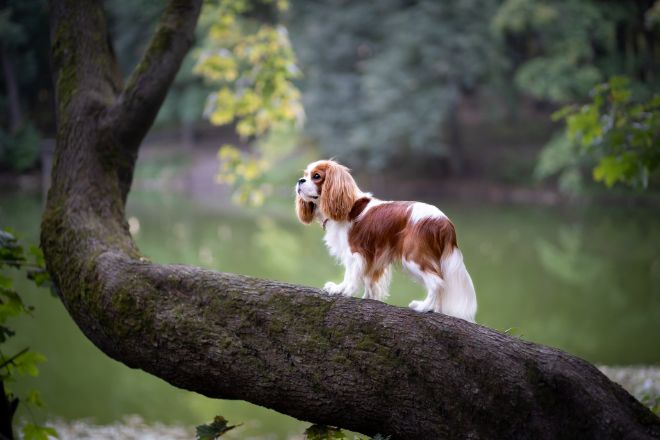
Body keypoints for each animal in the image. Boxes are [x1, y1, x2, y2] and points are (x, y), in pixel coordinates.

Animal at [296, 160, 476, 322]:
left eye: (317, 176)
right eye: (305, 175)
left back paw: (424, 307)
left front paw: (341, 289)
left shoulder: (355, 252)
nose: (300, 180)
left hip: (413, 257)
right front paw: (368, 298)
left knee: (437, 282)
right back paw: (435, 309)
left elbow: (350, 275)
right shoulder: (373, 256)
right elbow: (369, 280)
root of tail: (444, 222)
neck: (348, 207)